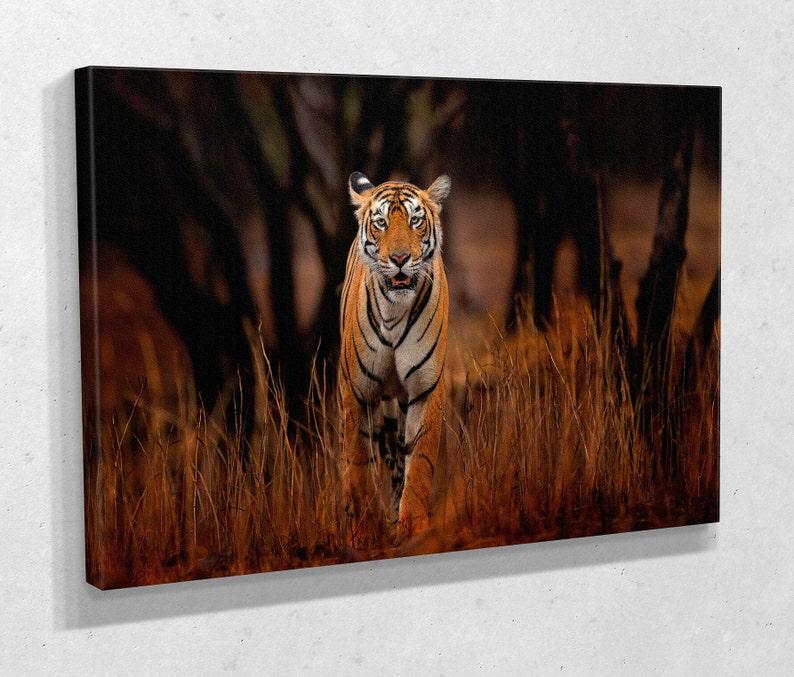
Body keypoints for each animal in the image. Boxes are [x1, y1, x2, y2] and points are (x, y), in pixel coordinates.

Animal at [338, 171, 451, 546]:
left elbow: (421, 461)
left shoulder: (425, 388)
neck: (394, 311)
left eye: (415, 220)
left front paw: (413, 527)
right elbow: (359, 460)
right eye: (381, 222)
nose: (400, 258)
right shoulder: (357, 391)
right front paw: (365, 532)